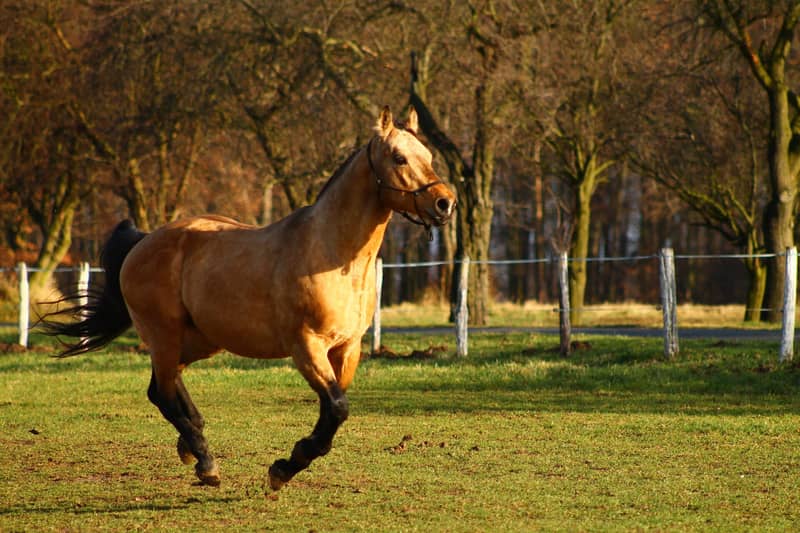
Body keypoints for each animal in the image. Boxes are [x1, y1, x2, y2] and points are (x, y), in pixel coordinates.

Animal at [42, 106, 456, 490]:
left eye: (428, 156)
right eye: (399, 158)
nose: (445, 203)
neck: (333, 257)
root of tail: (143, 241)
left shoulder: (347, 348)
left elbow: (332, 412)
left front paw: (288, 465)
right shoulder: (306, 346)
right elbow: (337, 408)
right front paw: (284, 467)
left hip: (199, 341)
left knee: (163, 388)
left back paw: (192, 444)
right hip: (165, 336)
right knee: (164, 392)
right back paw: (205, 460)